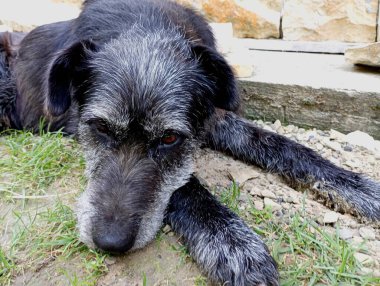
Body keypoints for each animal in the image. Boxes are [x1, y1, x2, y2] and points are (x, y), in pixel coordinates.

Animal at [0, 1, 378, 284]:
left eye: (169, 137)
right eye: (101, 128)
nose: (109, 242)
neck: (144, 26)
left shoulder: (212, 116)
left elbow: (282, 146)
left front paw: (357, 187)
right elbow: (186, 185)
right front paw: (232, 242)